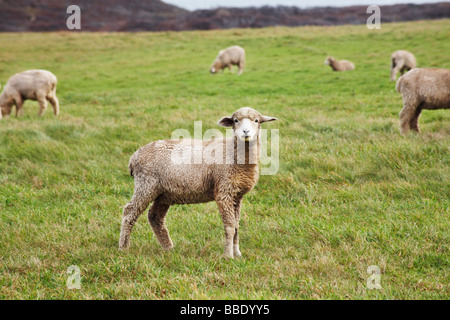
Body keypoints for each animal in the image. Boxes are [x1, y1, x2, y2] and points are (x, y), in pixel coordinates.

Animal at [118, 107, 276, 258]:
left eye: (256, 120)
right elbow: (230, 226)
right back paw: (124, 247)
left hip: (163, 193)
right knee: (129, 212)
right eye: (236, 120)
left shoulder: (237, 195)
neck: (234, 153)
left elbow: (237, 225)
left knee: (155, 217)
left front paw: (237, 253)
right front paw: (228, 255)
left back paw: (168, 248)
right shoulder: (224, 191)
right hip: (146, 185)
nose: (245, 132)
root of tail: (134, 157)